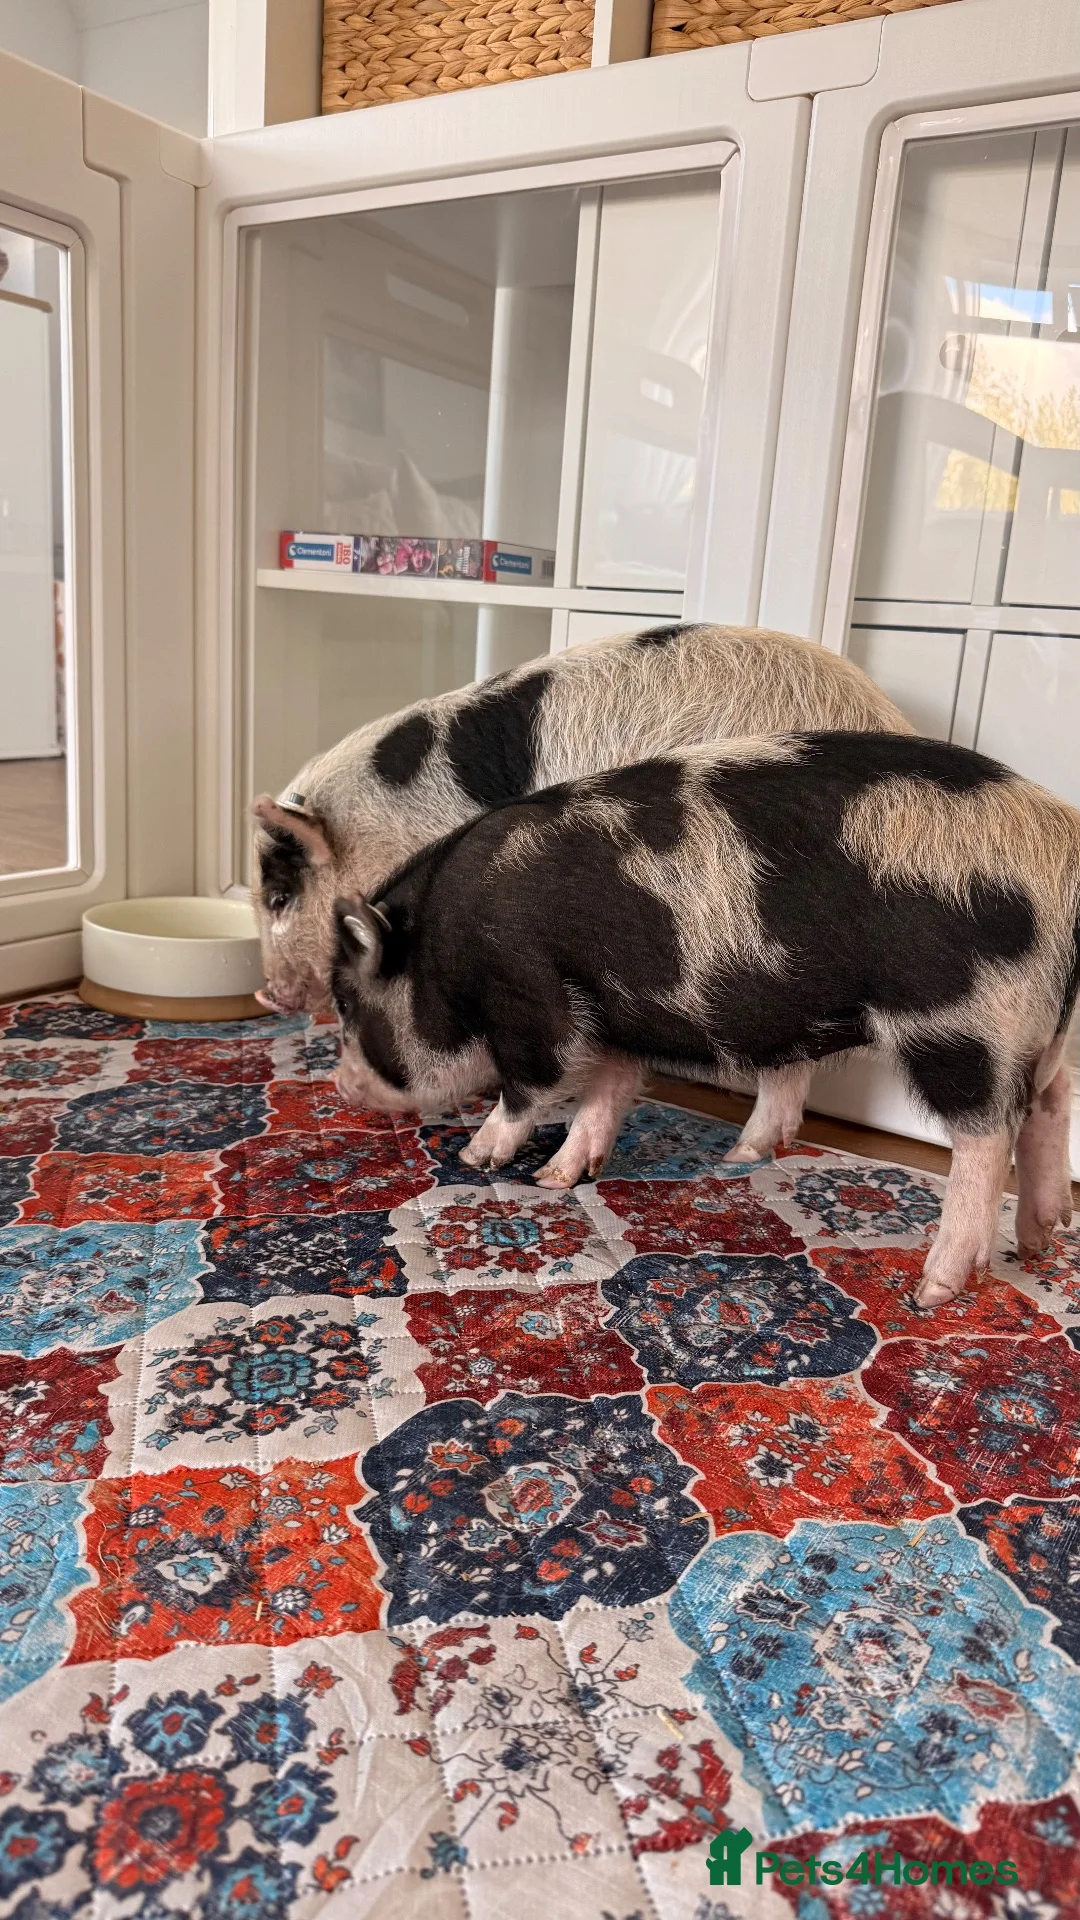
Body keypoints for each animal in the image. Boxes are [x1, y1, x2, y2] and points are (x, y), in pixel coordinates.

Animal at [329, 732, 1079, 1310]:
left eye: (346, 1002)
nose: (340, 1086)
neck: (439, 947)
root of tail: (1064, 858)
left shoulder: (529, 994)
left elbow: (532, 1084)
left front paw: (478, 1158)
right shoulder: (618, 1012)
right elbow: (607, 1091)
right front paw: (558, 1179)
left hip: (964, 1019)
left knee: (989, 1136)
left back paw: (933, 1290)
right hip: (1039, 1029)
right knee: (1051, 1105)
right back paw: (1037, 1238)